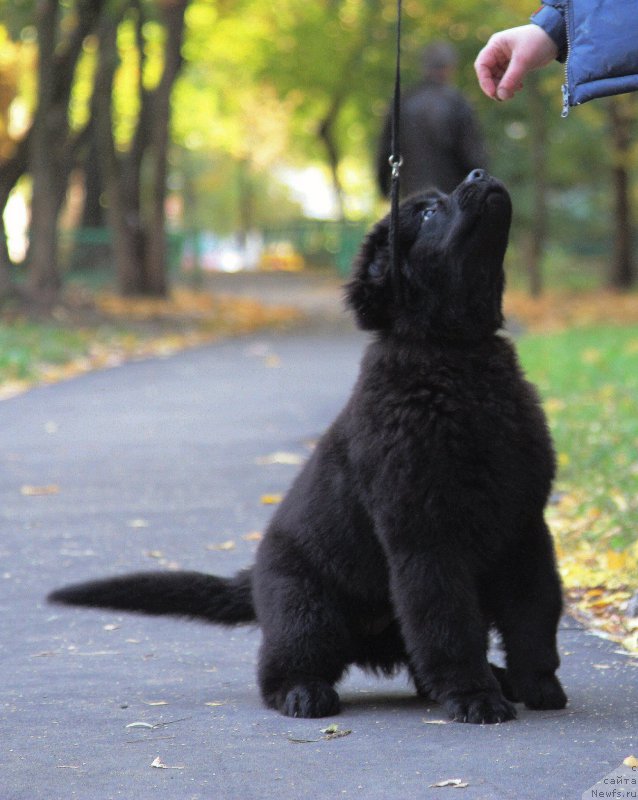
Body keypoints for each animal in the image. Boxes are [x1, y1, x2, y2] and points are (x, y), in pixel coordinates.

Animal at [51, 169, 568, 724]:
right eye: (428, 212)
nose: (478, 173)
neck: (458, 360)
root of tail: (254, 578)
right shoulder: (426, 538)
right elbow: (450, 626)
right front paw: (474, 697)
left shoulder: (525, 526)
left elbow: (535, 616)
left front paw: (536, 684)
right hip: (306, 609)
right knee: (281, 667)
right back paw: (304, 694)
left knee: (416, 660)